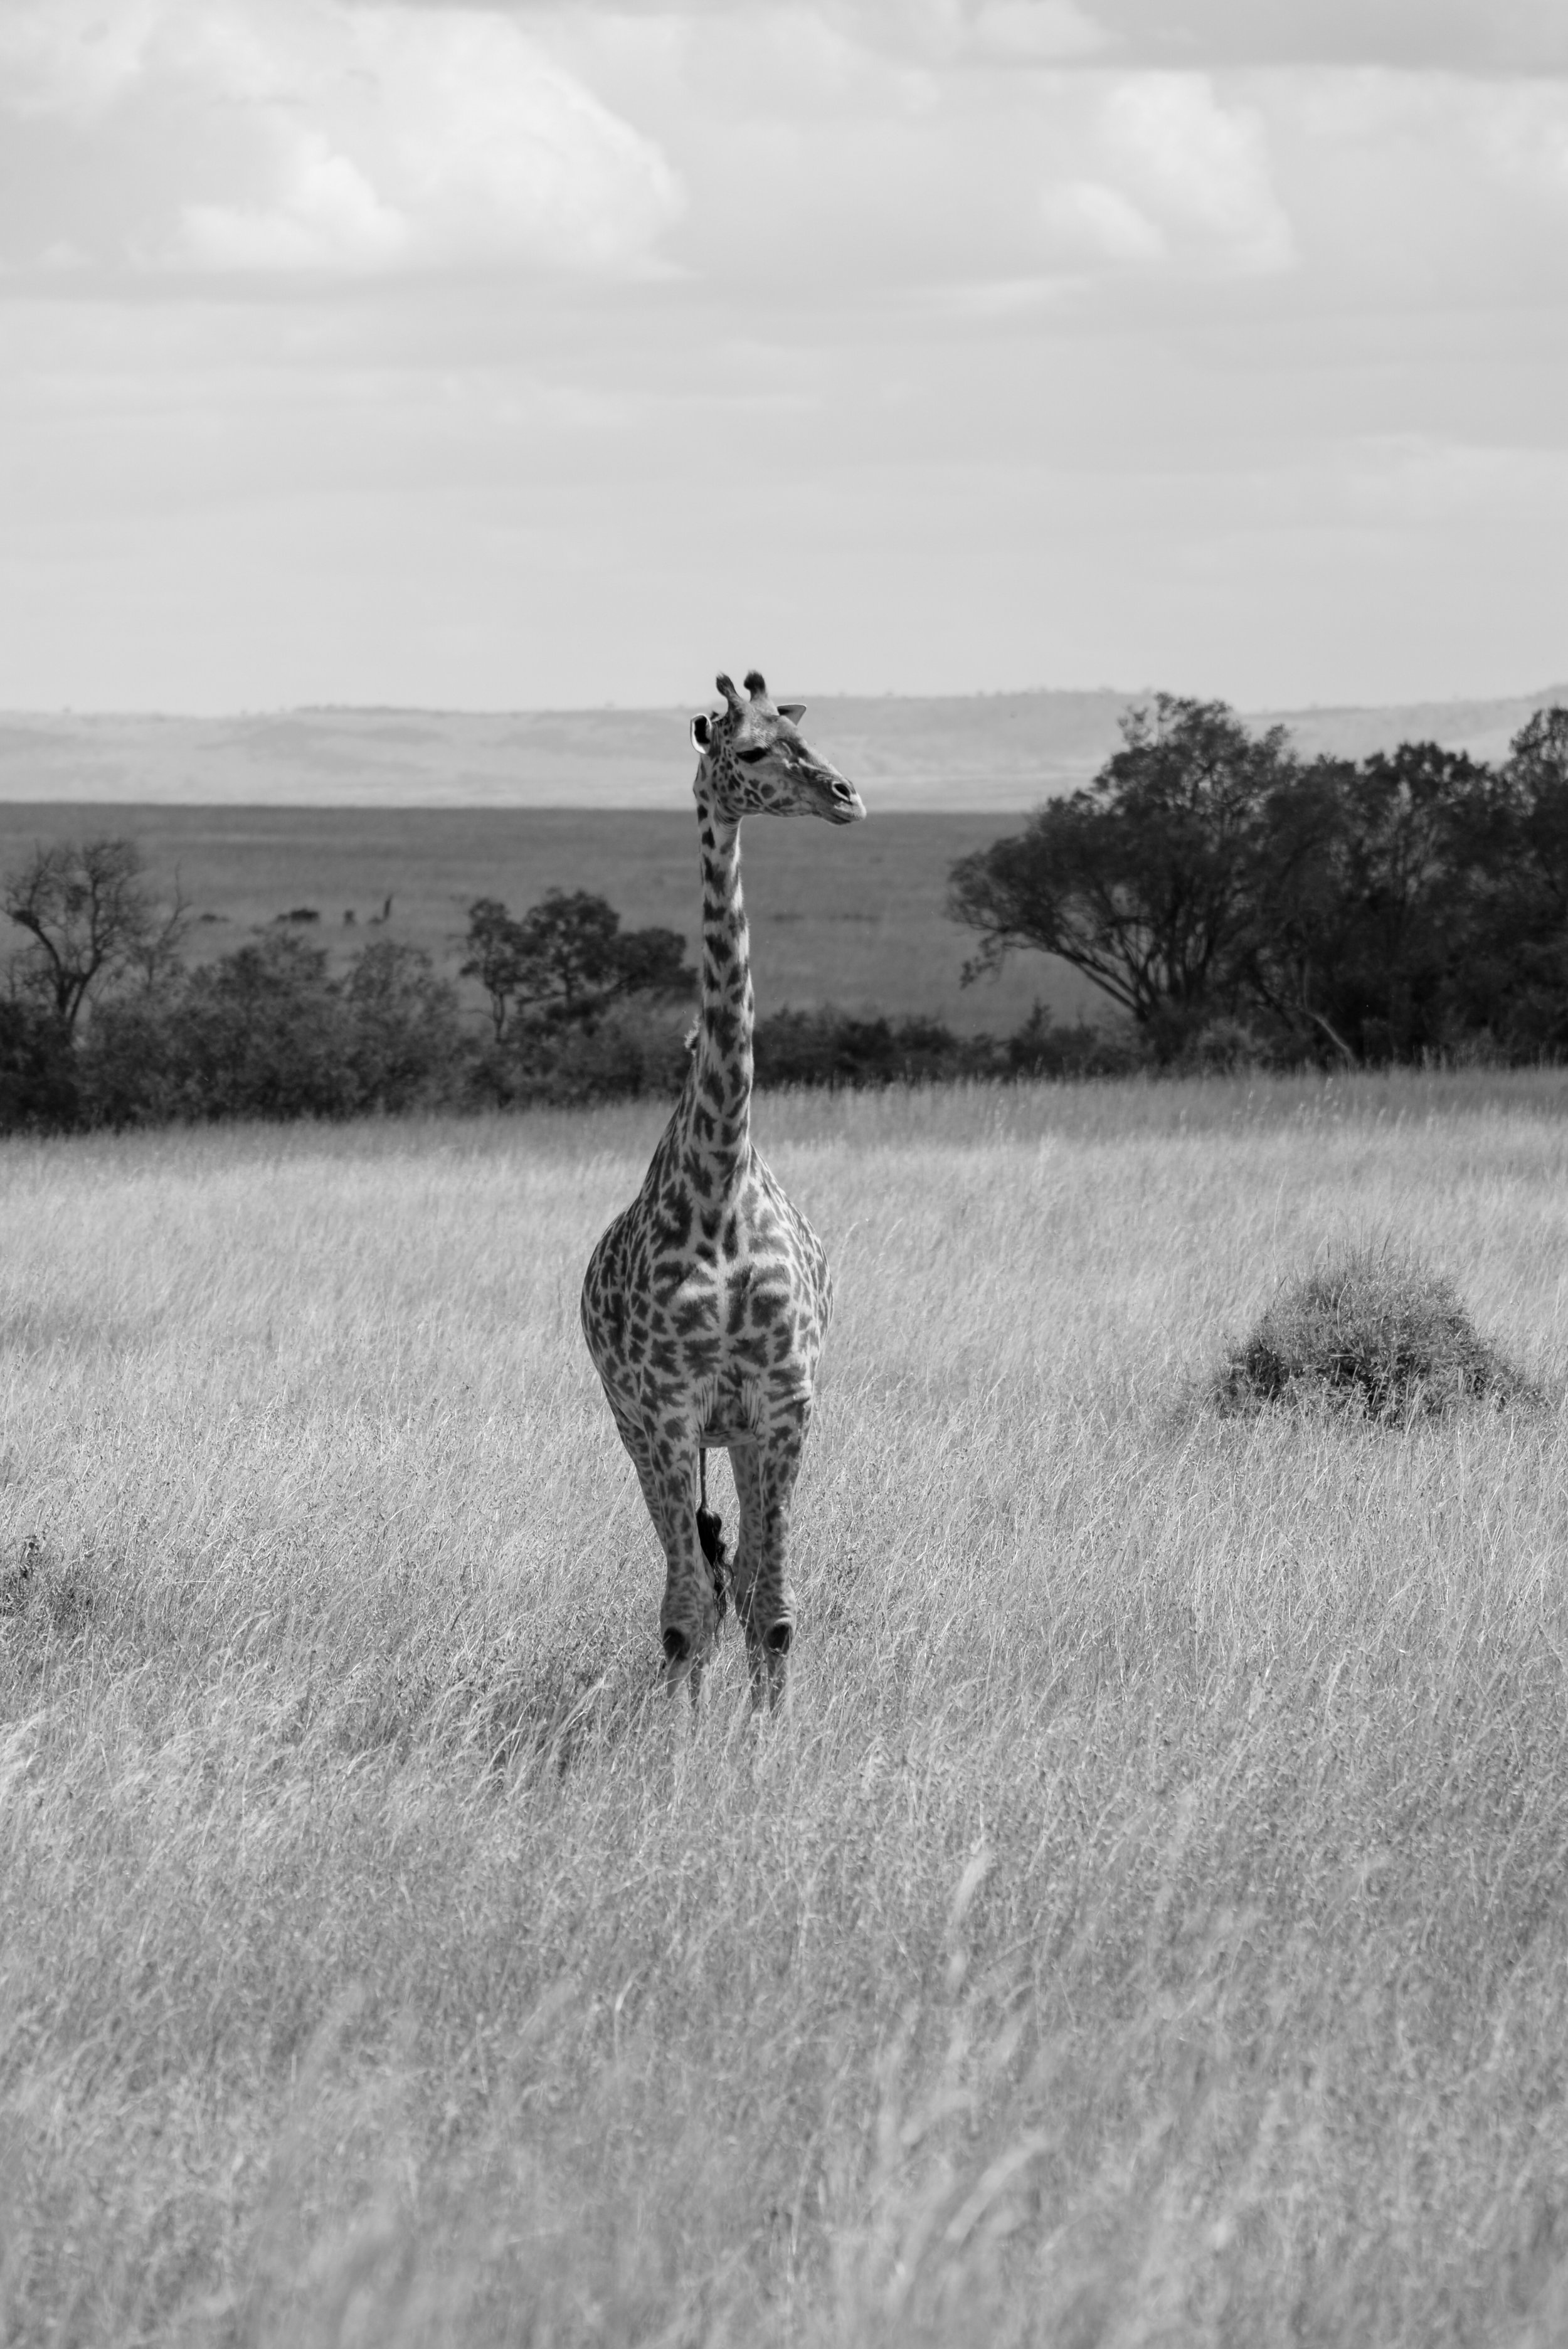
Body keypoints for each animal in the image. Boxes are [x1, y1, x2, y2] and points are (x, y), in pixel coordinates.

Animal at [580, 672, 868, 1700]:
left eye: (801, 735)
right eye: (747, 751)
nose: (845, 797)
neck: (717, 1192)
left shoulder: (783, 1405)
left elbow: (772, 1611)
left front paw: (765, 1734)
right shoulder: (666, 1410)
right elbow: (682, 1617)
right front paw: (682, 1736)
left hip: (731, 1436)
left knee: (734, 1580)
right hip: (636, 1426)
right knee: (695, 1585)